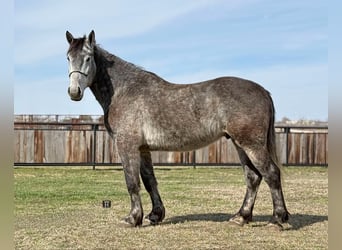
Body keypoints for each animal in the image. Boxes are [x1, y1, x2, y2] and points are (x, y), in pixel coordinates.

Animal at [65, 30, 288, 229]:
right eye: (68, 58)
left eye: (88, 58)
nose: (74, 92)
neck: (124, 90)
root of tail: (262, 91)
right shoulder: (143, 148)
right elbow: (149, 180)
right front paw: (155, 215)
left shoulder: (127, 146)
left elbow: (132, 181)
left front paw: (133, 218)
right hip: (240, 144)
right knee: (253, 178)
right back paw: (241, 217)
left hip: (251, 144)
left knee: (271, 173)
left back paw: (278, 219)